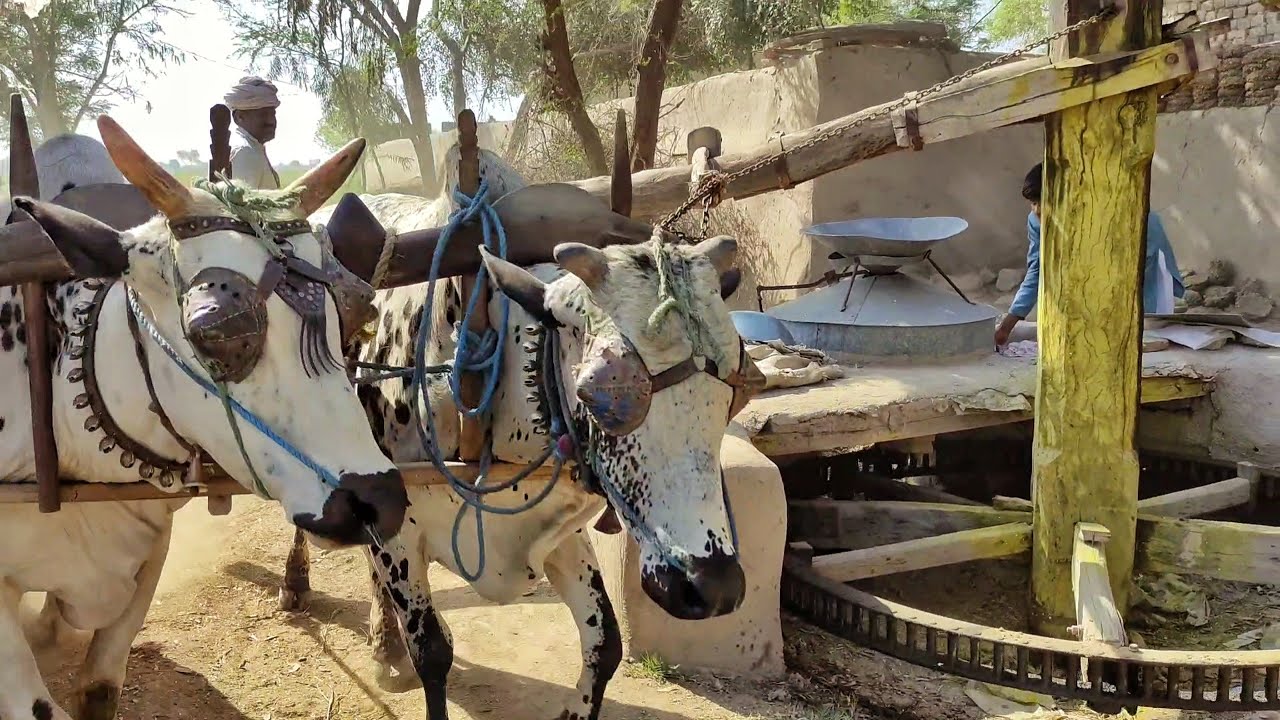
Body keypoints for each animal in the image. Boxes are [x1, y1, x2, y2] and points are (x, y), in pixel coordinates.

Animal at [297, 145, 761, 720]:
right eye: (598, 392)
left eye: (738, 388)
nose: (710, 586)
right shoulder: (398, 527)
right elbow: (432, 652)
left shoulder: (560, 531)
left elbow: (605, 643)